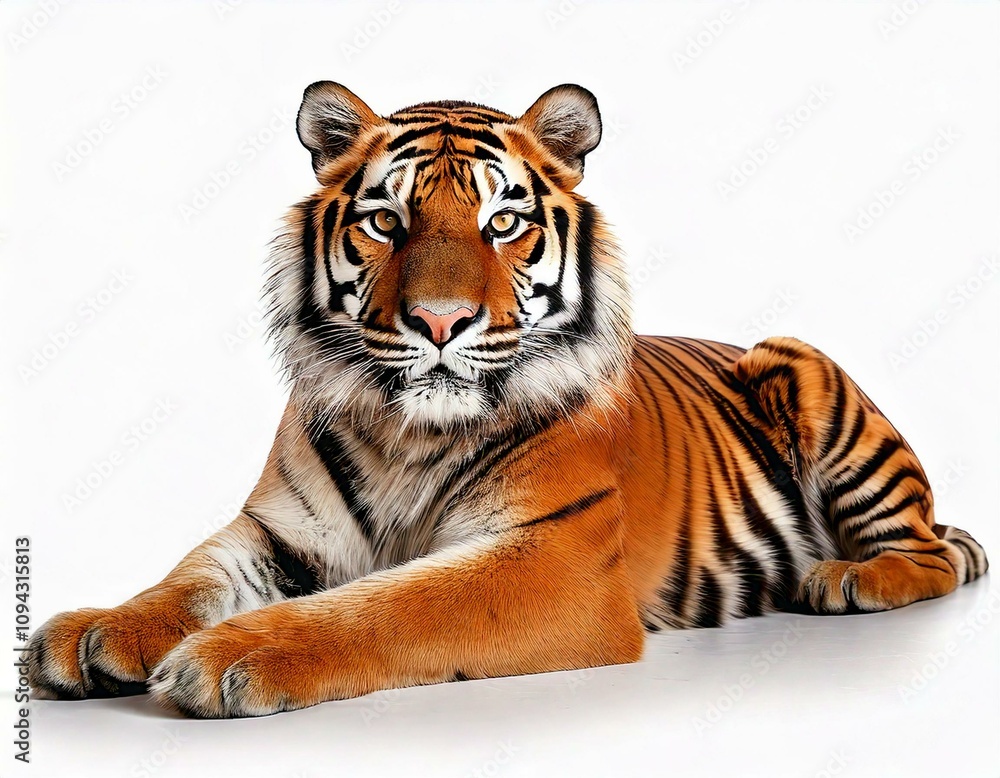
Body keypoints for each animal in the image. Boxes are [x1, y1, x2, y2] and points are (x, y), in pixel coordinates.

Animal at [26, 82, 989, 718]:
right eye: (387, 222)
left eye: (503, 223)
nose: (439, 321)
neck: (408, 433)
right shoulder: (277, 530)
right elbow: (187, 577)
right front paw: (98, 630)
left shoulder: (552, 556)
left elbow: (389, 605)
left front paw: (229, 655)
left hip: (800, 364)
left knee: (929, 556)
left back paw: (842, 579)